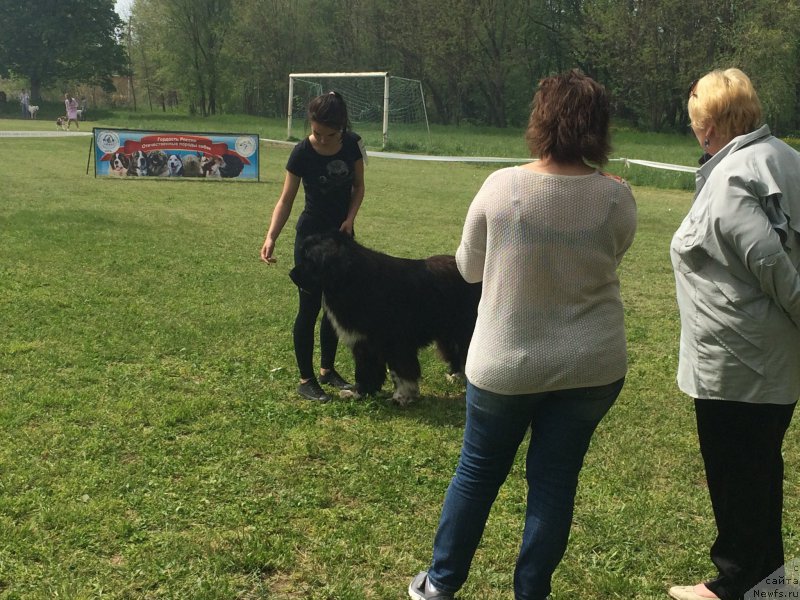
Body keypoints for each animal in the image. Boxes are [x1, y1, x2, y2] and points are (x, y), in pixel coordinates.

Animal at [292, 232, 482, 406]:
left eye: (309, 259)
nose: (291, 274)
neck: (351, 280)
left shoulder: (396, 342)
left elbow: (401, 372)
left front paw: (402, 397)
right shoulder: (363, 342)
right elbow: (365, 369)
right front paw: (359, 392)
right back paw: (456, 375)